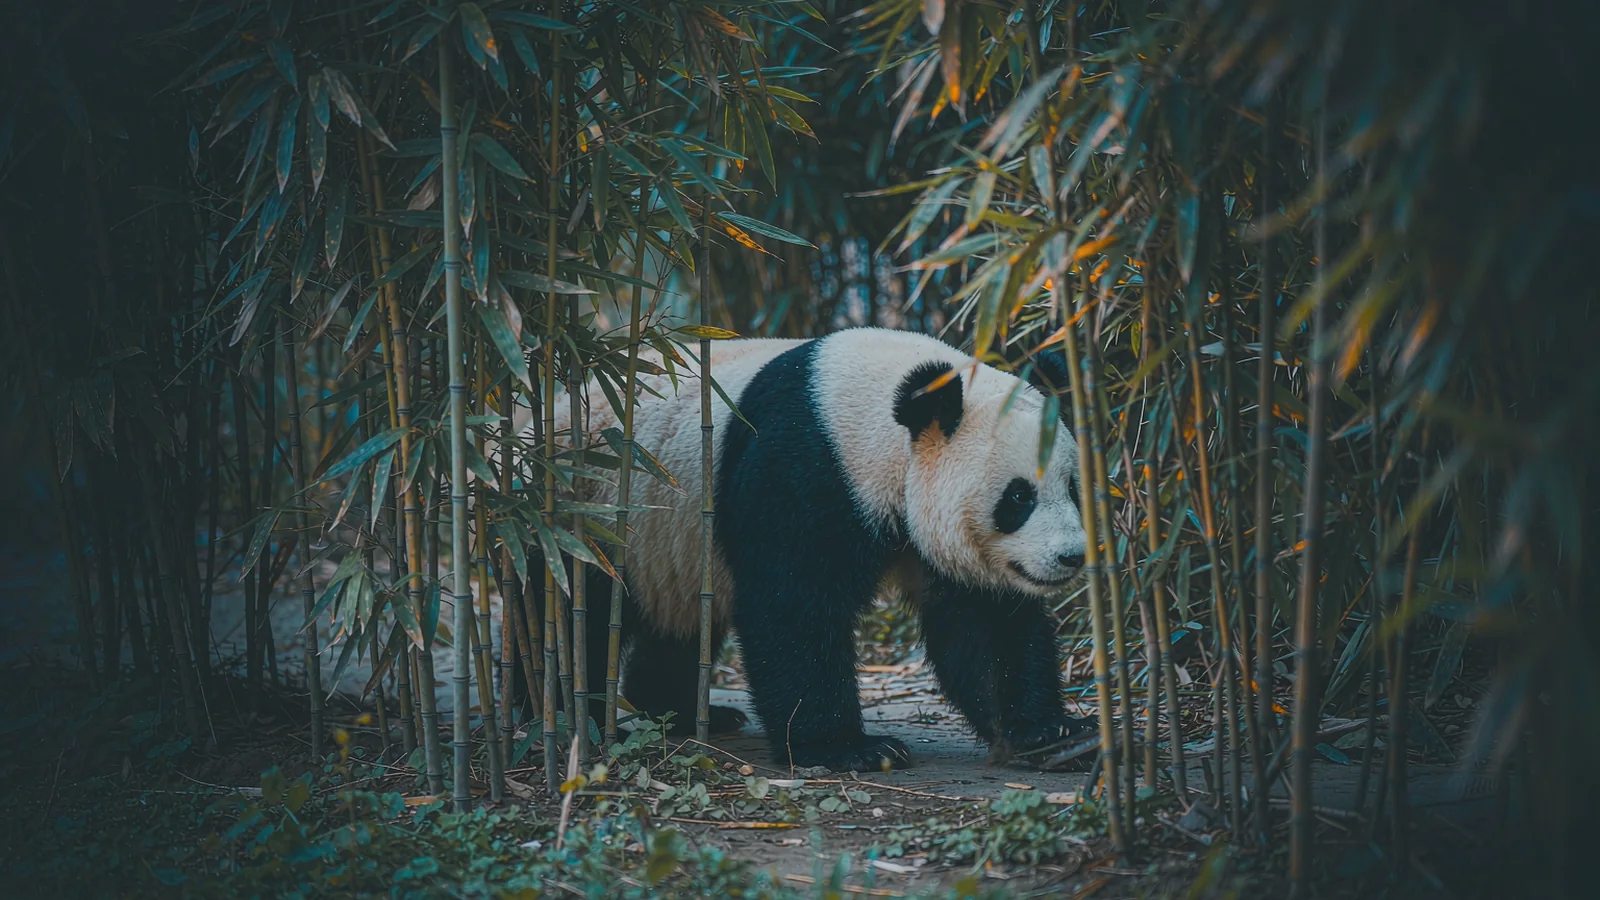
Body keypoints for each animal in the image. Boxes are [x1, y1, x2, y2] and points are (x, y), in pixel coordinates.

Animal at [550, 327, 1093, 772]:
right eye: (1019, 497)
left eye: (1071, 486)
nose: (1071, 557)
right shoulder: (804, 468)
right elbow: (794, 609)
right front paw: (851, 749)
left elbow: (983, 624)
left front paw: (1054, 733)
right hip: (587, 517)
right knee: (575, 620)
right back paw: (573, 722)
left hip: (666, 549)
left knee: (676, 626)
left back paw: (685, 714)